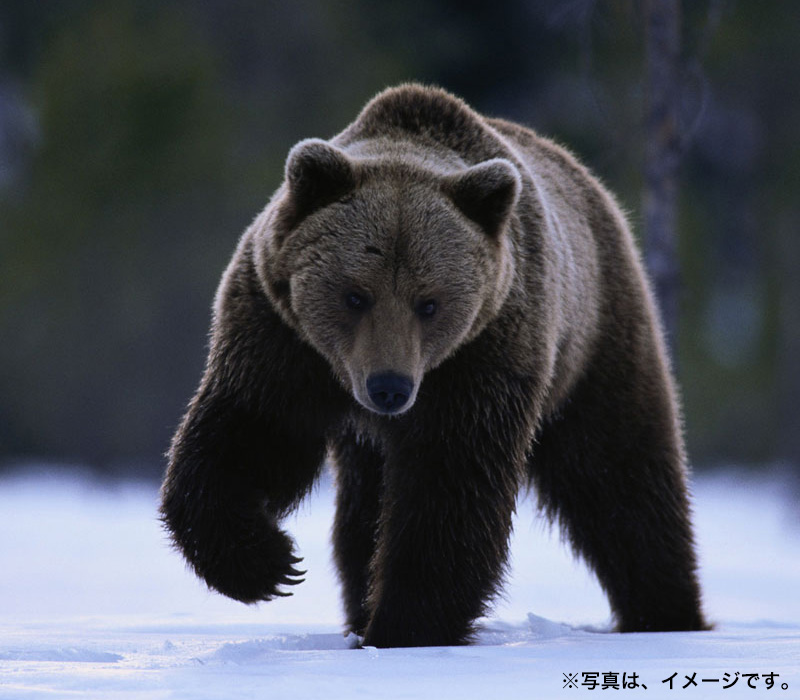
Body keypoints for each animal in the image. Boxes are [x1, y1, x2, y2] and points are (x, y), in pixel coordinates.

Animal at [161, 85, 708, 648]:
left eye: (429, 303)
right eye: (355, 295)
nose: (389, 387)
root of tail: (593, 186)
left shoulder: (484, 354)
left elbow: (450, 484)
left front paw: (405, 625)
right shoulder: (280, 337)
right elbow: (251, 433)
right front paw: (267, 563)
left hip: (595, 340)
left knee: (620, 475)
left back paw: (665, 612)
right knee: (362, 512)